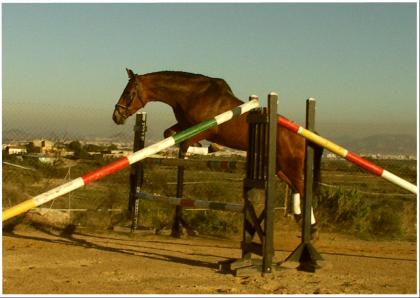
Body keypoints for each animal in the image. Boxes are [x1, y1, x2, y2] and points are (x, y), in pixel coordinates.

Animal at [111, 68, 322, 233]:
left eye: (129, 92)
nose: (116, 116)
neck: (190, 95)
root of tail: (306, 135)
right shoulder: (186, 125)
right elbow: (170, 134)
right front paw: (202, 149)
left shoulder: (206, 129)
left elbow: (186, 143)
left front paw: (209, 148)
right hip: (280, 168)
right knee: (297, 188)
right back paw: (302, 220)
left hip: (290, 165)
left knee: (303, 188)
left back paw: (311, 228)